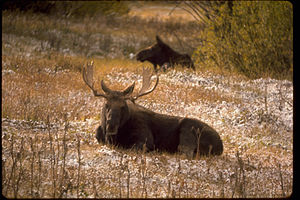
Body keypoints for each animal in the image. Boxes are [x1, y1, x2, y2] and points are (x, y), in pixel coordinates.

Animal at [82, 61, 223, 157]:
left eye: (123, 106)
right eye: (106, 104)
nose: (111, 125)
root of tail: (221, 146)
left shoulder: (146, 139)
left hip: (189, 128)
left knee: (185, 151)